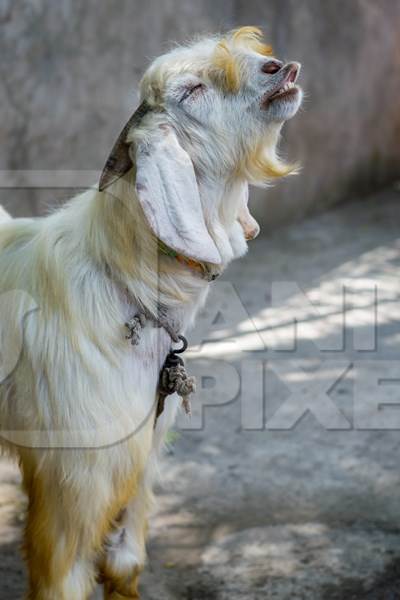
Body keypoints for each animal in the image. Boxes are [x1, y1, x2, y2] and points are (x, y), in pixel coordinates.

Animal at [0, 25, 300, 596]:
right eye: (192, 90)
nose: (279, 68)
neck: (124, 281)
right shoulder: (75, 479)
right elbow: (63, 573)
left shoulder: (143, 448)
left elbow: (124, 561)